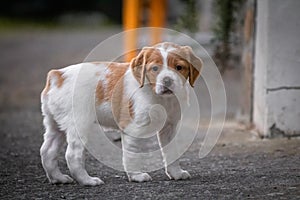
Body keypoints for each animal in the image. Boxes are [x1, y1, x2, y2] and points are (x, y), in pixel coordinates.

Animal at [39, 42, 203, 186]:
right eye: (155, 68)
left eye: (179, 67)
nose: (167, 81)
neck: (159, 97)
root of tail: (57, 75)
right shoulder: (133, 128)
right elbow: (132, 154)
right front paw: (137, 176)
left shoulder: (168, 128)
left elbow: (171, 152)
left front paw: (176, 173)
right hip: (79, 124)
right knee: (72, 155)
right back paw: (87, 181)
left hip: (55, 124)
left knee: (47, 151)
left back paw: (58, 178)